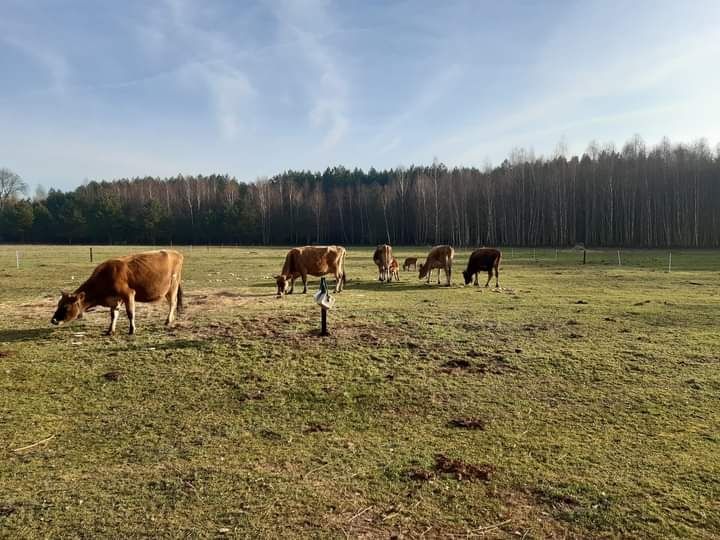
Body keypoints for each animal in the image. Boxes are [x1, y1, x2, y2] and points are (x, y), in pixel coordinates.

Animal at [50, 249, 184, 334]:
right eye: (58, 304)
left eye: (66, 307)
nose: (53, 320)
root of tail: (176, 253)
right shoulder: (115, 299)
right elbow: (113, 315)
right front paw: (110, 330)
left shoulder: (128, 294)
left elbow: (130, 313)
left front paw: (132, 330)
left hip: (172, 286)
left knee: (172, 303)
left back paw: (168, 320)